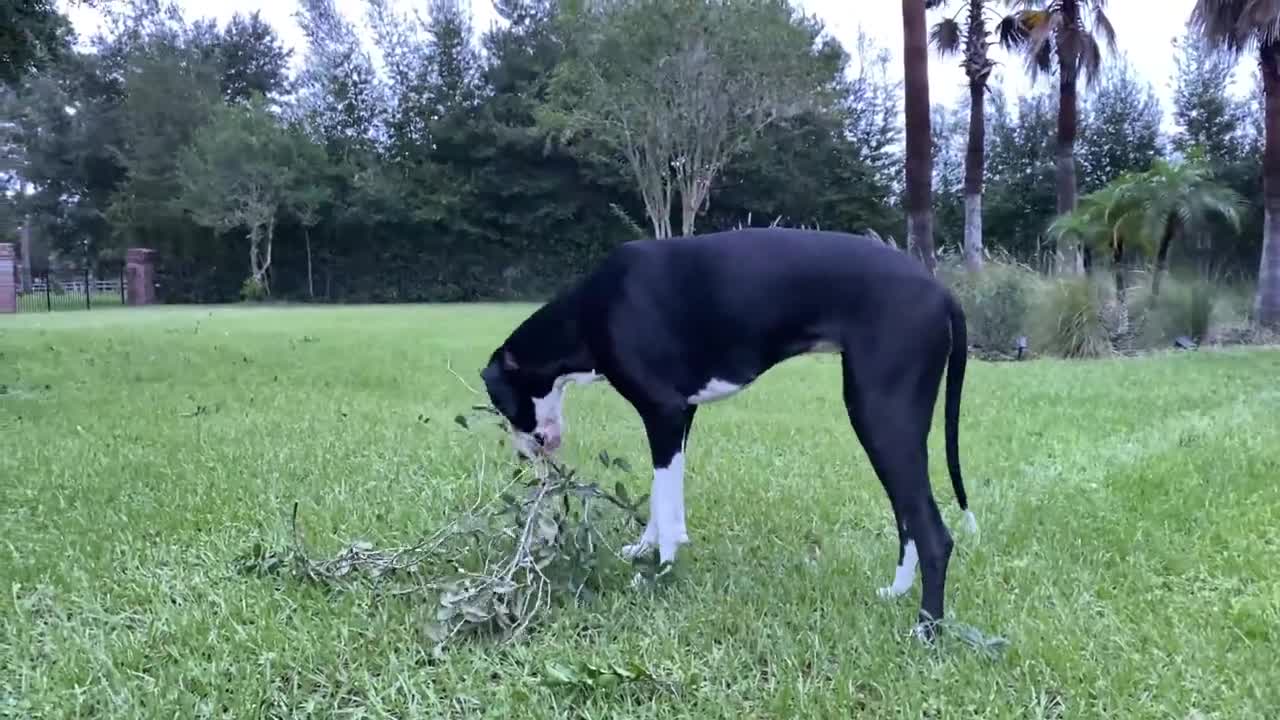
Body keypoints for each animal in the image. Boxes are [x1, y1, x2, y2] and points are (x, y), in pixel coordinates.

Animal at [483, 225, 972, 632]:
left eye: (503, 406)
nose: (523, 457)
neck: (593, 309)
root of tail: (943, 292)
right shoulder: (679, 417)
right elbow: (663, 498)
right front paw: (646, 549)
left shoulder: (663, 414)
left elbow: (664, 502)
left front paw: (659, 574)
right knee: (908, 518)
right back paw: (897, 591)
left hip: (880, 416)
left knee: (932, 533)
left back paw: (926, 630)